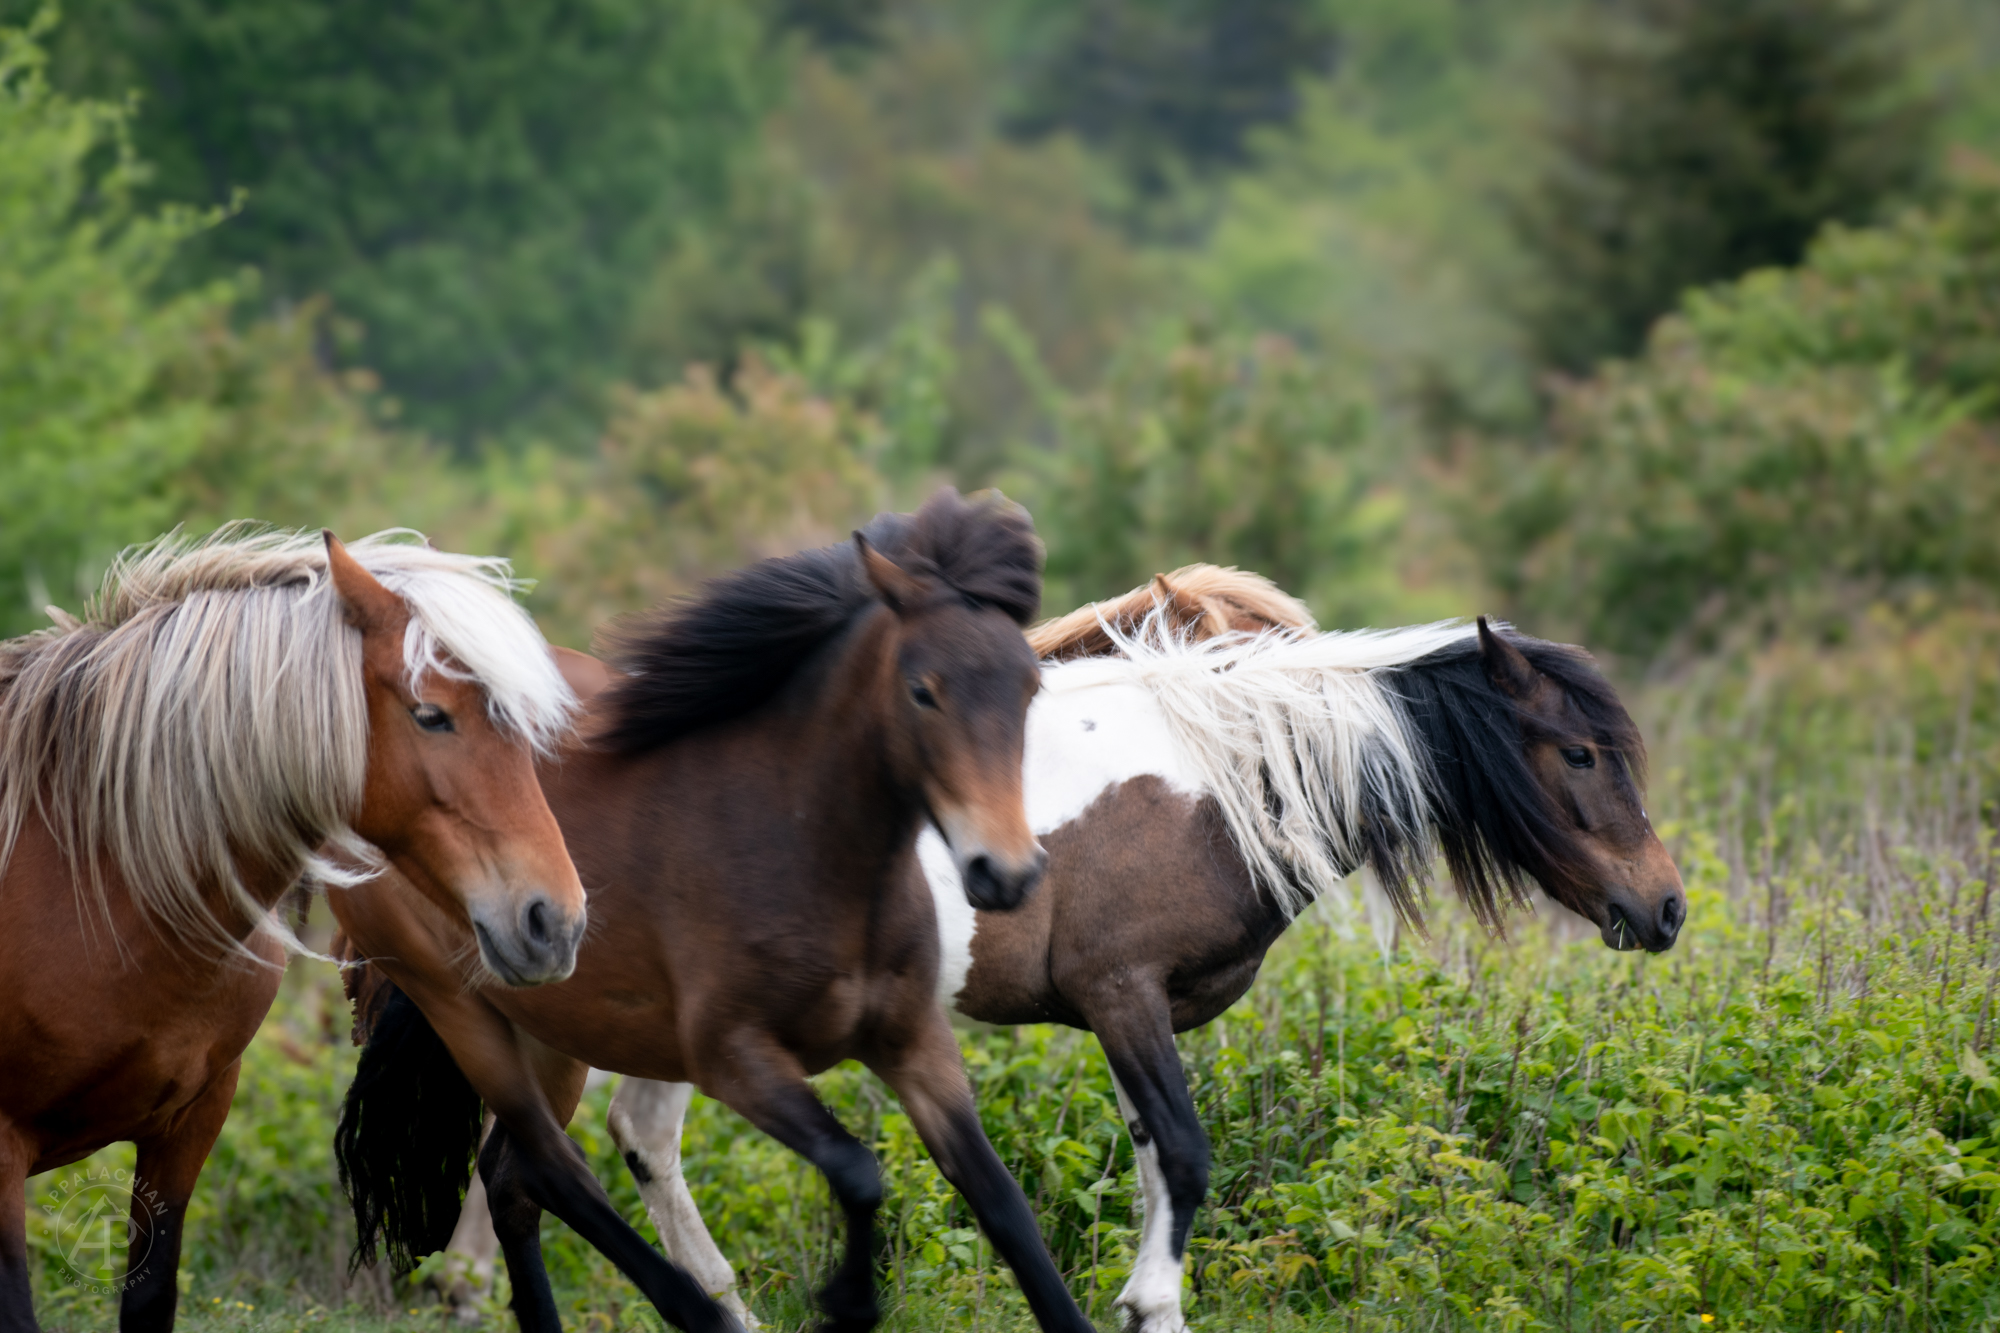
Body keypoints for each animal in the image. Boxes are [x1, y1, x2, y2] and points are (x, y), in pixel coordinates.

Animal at [330, 490, 1100, 1333]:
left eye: (1028, 688)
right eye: (922, 690)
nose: (1007, 872)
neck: (806, 851)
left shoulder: (914, 1042)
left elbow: (1002, 1203)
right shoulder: (736, 1058)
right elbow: (858, 1168)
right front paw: (848, 1301)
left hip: (556, 1019)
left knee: (512, 1180)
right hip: (462, 1008)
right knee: (549, 1171)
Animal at [534, 567, 1686, 1333]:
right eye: (1579, 753)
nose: (1666, 907)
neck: (1214, 782)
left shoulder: (1134, 1013)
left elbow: (1150, 1169)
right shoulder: (1121, 995)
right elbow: (1182, 1154)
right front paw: (1148, 1301)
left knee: (630, 1142)